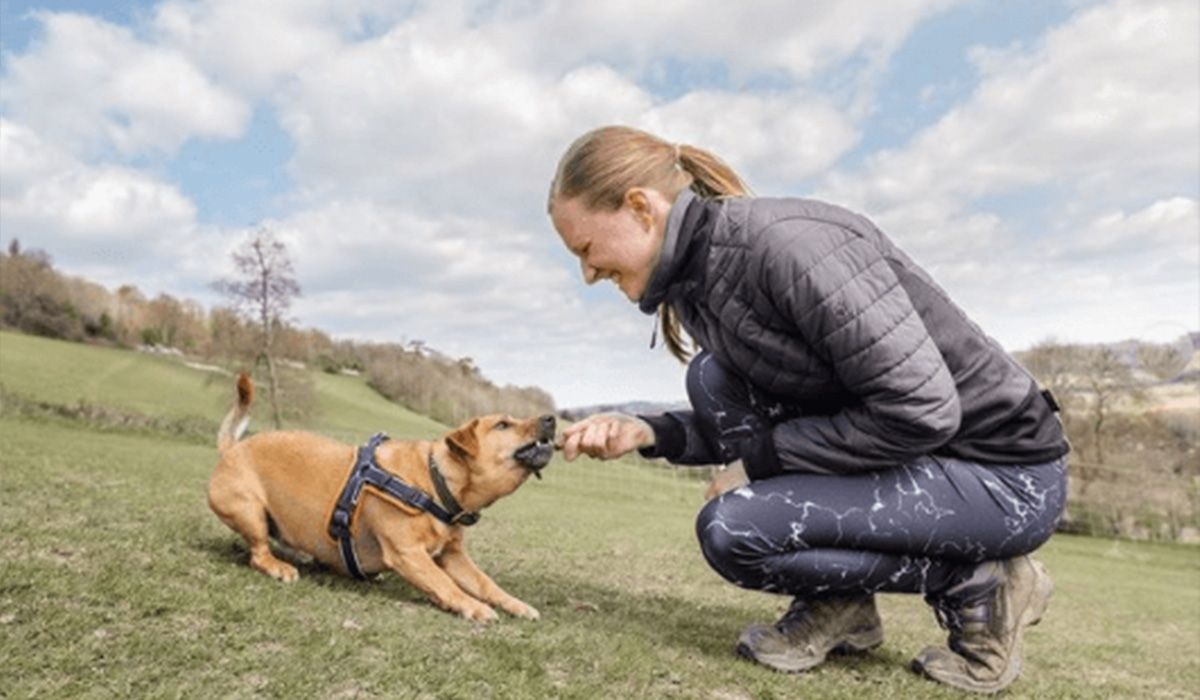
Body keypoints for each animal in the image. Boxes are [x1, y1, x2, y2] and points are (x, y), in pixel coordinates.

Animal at [208, 374, 554, 619]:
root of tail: (232, 448)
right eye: (503, 425)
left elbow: (485, 582)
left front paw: (515, 604)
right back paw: (279, 566)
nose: (551, 418)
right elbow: (444, 583)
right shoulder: (409, 553)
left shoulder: (452, 555)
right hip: (250, 511)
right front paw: (474, 607)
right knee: (258, 553)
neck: (436, 480)